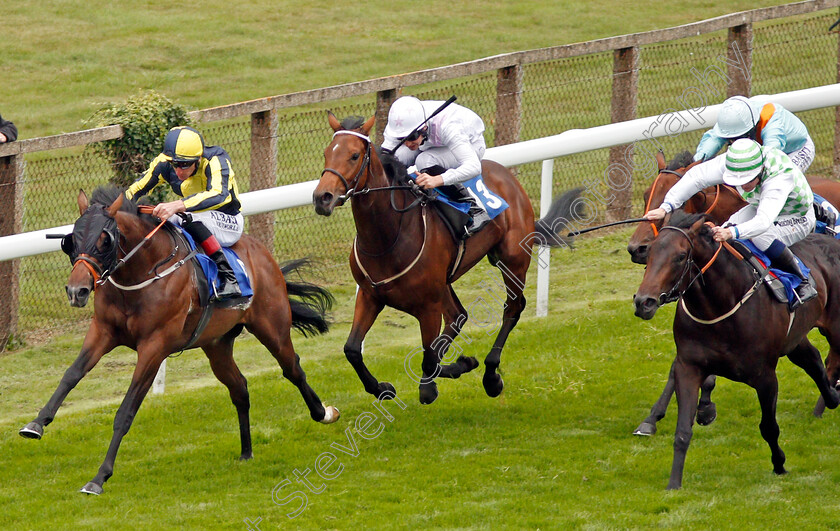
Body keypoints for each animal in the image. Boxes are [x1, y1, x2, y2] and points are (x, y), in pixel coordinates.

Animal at [18, 186, 338, 494]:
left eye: (104, 241)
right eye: (70, 241)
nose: (77, 291)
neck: (142, 272)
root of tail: (262, 253)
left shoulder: (154, 347)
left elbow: (126, 411)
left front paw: (99, 478)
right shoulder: (103, 331)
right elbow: (71, 374)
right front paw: (36, 424)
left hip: (271, 326)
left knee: (292, 368)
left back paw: (324, 413)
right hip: (217, 345)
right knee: (239, 387)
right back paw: (246, 451)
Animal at [312, 115, 580, 404]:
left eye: (354, 155)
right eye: (326, 153)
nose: (322, 198)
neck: (388, 238)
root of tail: (507, 175)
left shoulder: (428, 306)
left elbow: (428, 367)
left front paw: (440, 379)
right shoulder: (370, 295)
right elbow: (352, 348)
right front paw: (383, 387)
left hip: (513, 260)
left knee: (512, 308)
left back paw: (491, 376)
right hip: (447, 281)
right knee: (458, 315)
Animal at [632, 211, 840, 490]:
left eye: (680, 256)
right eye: (651, 252)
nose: (644, 302)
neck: (719, 306)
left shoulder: (765, 376)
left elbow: (769, 427)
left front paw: (779, 465)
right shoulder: (689, 366)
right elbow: (683, 430)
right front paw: (674, 483)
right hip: (795, 338)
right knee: (814, 360)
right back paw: (830, 398)